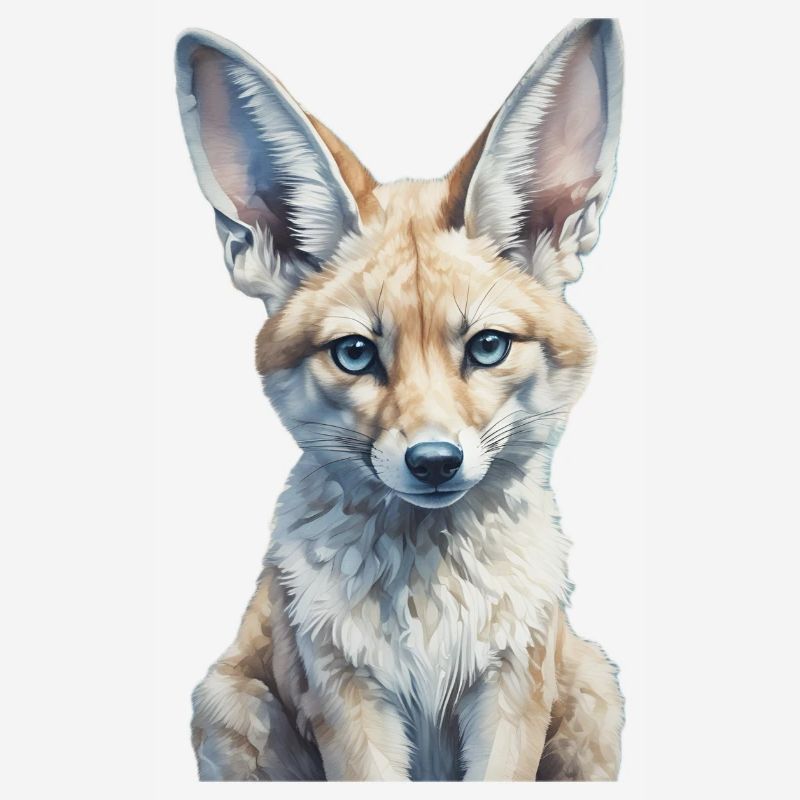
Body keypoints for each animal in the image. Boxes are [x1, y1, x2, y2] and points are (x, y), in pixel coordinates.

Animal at [175, 17, 625, 781]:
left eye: (487, 347)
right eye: (356, 353)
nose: (435, 462)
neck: (431, 608)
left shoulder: (512, 690)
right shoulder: (346, 698)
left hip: (596, 693)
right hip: (226, 705)